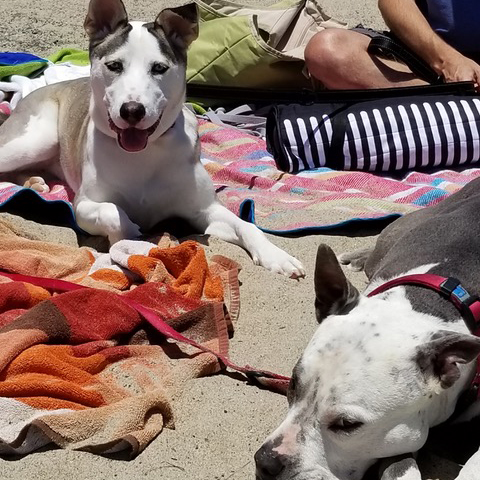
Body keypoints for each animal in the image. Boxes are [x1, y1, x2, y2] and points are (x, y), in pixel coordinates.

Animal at [0, 0, 304, 280]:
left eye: (159, 68)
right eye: (114, 65)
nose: (132, 110)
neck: (144, 153)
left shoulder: (206, 210)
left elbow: (246, 225)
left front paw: (277, 257)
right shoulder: (84, 206)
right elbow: (113, 213)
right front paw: (129, 235)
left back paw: (34, 182)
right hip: (34, 140)